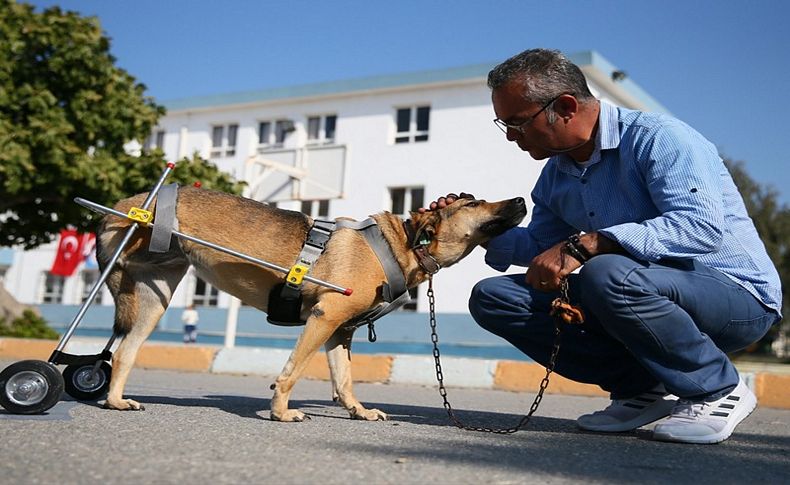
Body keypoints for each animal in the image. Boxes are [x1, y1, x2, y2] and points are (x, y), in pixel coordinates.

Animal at [97, 187, 524, 422]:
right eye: (474, 203)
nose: (522, 199)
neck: (400, 246)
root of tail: (132, 200)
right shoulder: (324, 318)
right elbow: (292, 371)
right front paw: (280, 411)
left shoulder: (339, 331)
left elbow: (344, 379)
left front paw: (358, 411)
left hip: (155, 300)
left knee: (124, 352)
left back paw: (115, 401)